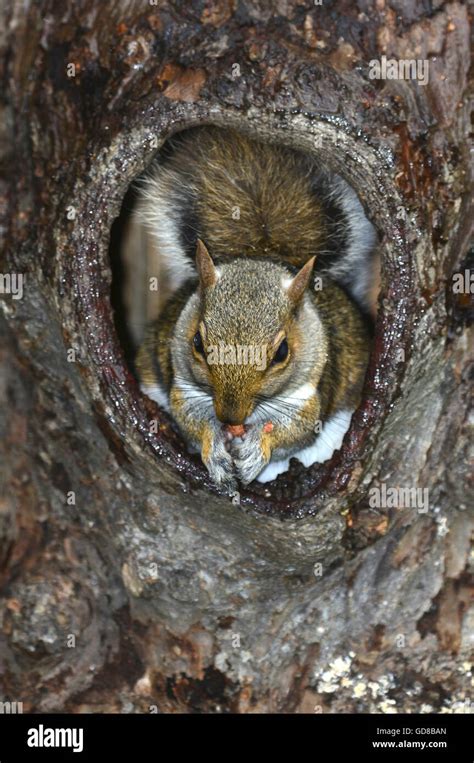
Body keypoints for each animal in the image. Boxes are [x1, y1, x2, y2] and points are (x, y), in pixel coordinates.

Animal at [128, 127, 380, 490]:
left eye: (282, 352)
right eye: (197, 343)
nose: (230, 417)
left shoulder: (311, 394)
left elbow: (297, 431)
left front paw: (257, 449)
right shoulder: (184, 388)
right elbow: (191, 419)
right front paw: (214, 446)